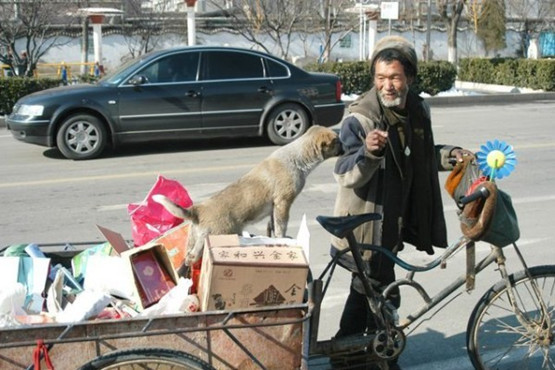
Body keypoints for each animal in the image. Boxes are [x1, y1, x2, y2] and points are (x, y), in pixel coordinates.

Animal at [152, 125, 344, 266]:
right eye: (337, 141)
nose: (347, 146)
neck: (297, 158)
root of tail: (197, 210)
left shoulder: (274, 207)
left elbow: (273, 226)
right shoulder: (283, 202)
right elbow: (281, 226)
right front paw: (283, 239)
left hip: (194, 239)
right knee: (192, 260)